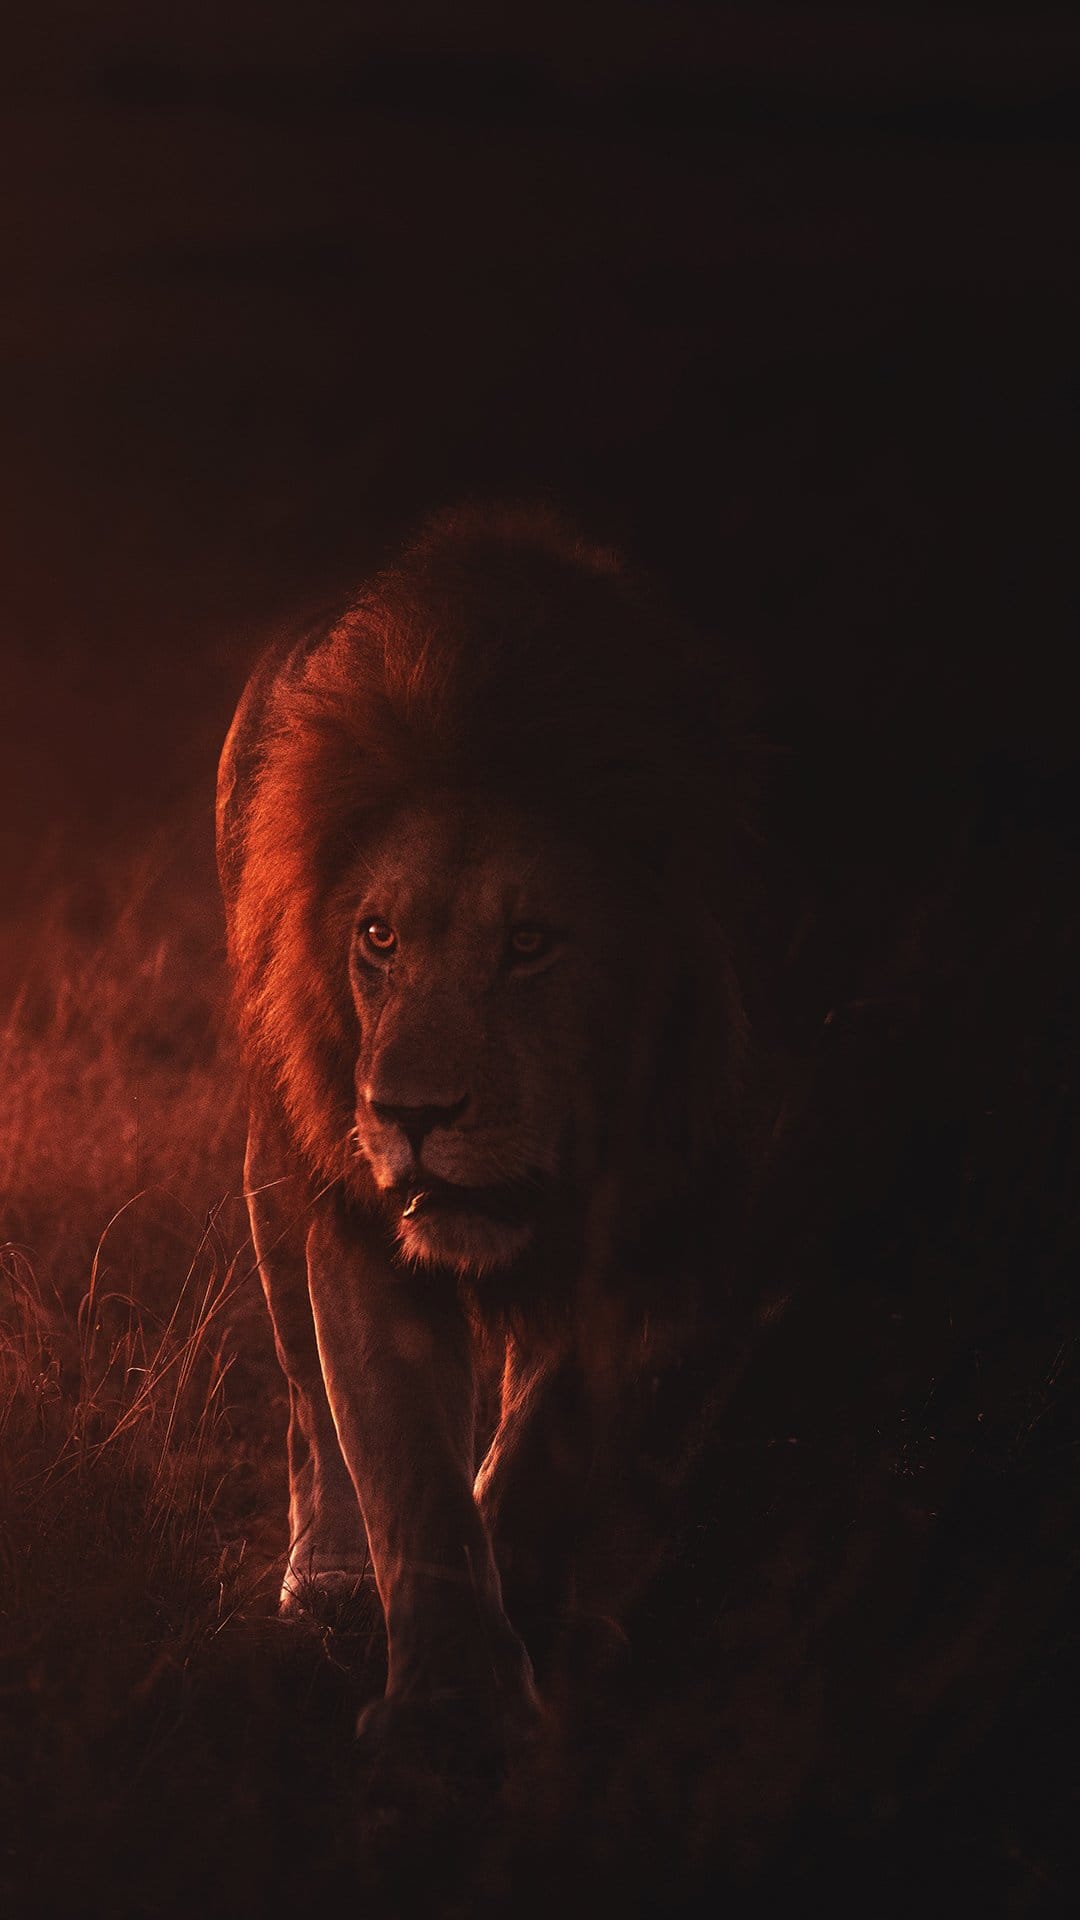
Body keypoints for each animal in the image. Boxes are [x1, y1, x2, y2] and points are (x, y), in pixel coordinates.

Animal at [216, 501, 748, 1759]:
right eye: (378, 937)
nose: (408, 1115)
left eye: (530, 945)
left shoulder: (653, 1208)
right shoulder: (360, 1219)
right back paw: (328, 1580)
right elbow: (402, 1455)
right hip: (280, 1167)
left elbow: (550, 1424)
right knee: (308, 1404)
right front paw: (449, 1706)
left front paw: (523, 1587)